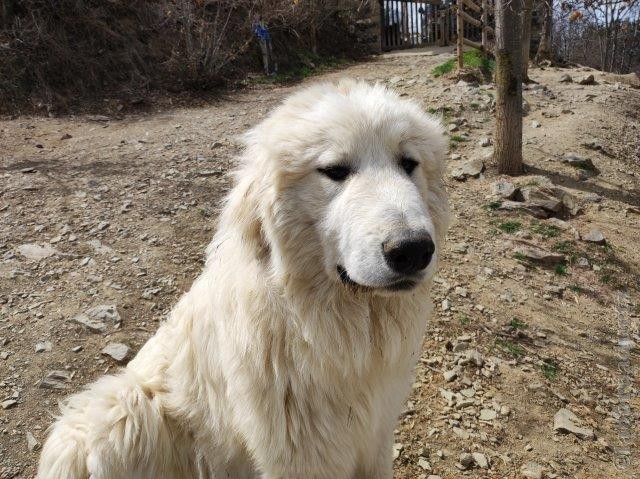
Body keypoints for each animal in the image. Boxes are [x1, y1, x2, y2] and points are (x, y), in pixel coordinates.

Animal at [37, 79, 448, 479]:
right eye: (335, 170)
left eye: (408, 163)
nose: (413, 250)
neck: (319, 324)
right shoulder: (301, 455)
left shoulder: (375, 434)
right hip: (115, 413)